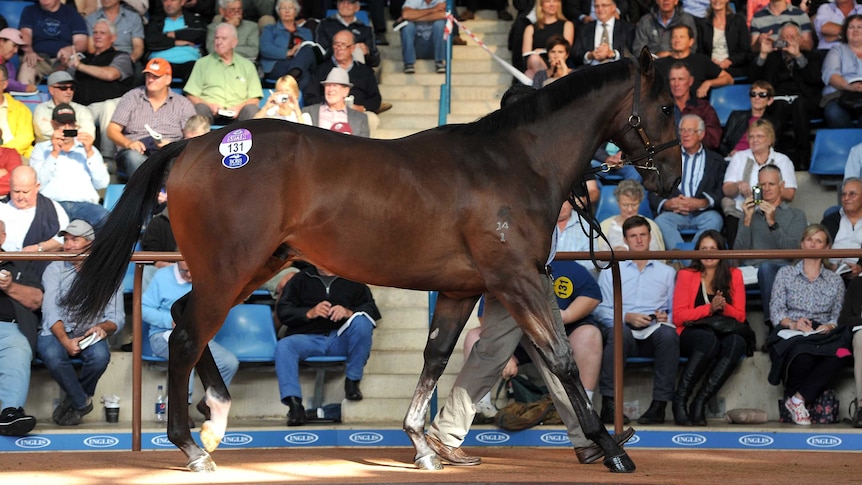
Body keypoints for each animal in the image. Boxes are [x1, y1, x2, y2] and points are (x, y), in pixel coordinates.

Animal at [62, 48, 680, 472]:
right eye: (668, 105)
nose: (671, 179)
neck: (513, 162)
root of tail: (192, 145)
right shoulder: (518, 280)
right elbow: (561, 359)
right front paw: (610, 447)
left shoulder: (463, 289)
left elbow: (435, 359)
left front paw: (423, 445)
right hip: (230, 267)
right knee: (187, 334)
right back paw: (193, 446)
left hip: (250, 267)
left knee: (186, 321)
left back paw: (214, 421)